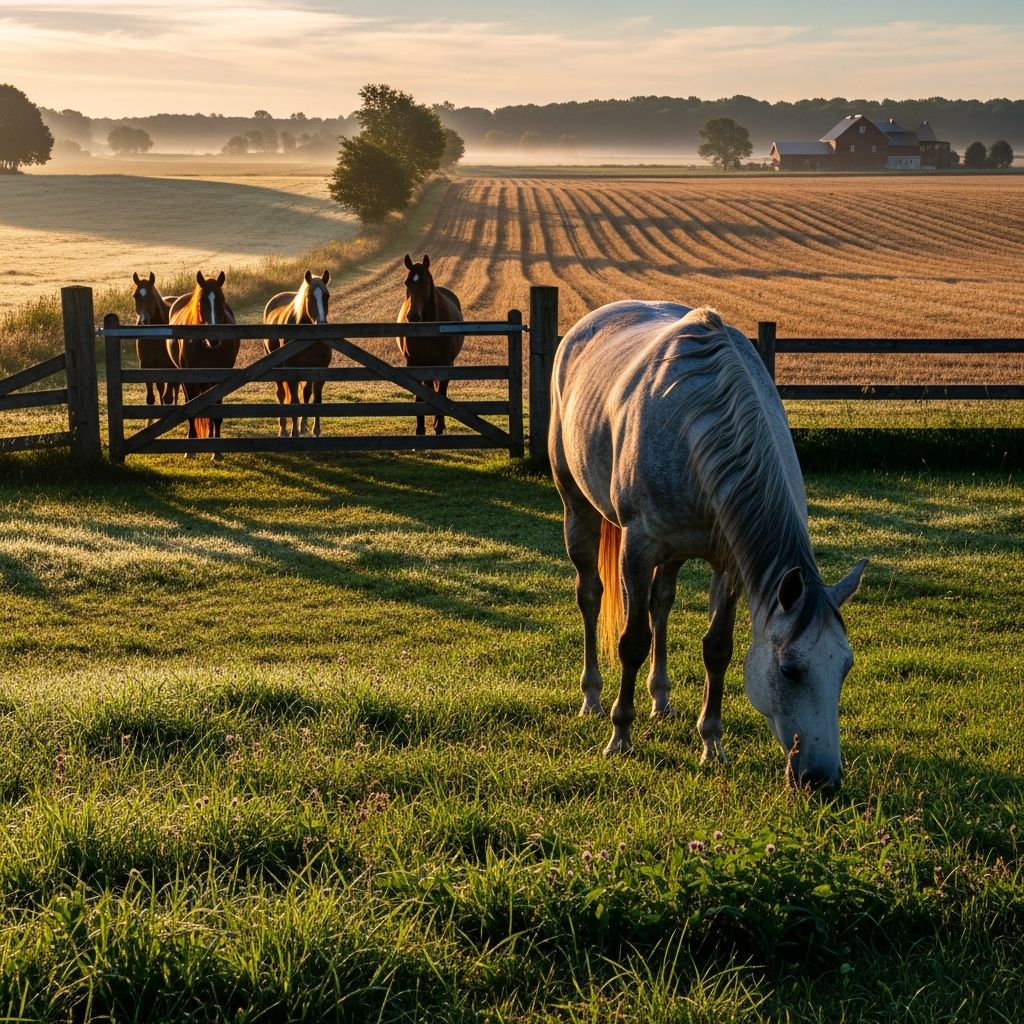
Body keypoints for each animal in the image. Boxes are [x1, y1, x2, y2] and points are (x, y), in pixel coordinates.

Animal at [132, 271, 179, 415]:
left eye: (151, 296)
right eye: (135, 296)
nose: (143, 322)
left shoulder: (170, 367)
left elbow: (168, 397)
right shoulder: (146, 366)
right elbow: (150, 399)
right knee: (160, 387)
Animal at [167, 271, 239, 459]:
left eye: (221, 299)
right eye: (201, 301)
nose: (214, 338)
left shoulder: (221, 379)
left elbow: (216, 414)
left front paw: (216, 451)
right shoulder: (190, 378)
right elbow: (191, 411)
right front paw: (190, 451)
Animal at [263, 269, 332, 437]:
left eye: (327, 296)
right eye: (309, 296)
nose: (321, 324)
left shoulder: (319, 370)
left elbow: (316, 400)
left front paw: (315, 430)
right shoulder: (291, 371)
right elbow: (294, 401)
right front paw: (294, 432)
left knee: (305, 393)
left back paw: (304, 425)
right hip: (277, 369)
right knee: (281, 394)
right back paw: (283, 429)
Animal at [396, 254, 464, 436]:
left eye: (425, 282)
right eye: (406, 282)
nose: (412, 316)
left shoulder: (445, 364)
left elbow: (441, 393)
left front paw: (439, 427)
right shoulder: (415, 364)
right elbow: (419, 396)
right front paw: (420, 429)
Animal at [549, 301, 867, 791]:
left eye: (844, 667)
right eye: (790, 670)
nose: (824, 780)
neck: (698, 421)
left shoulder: (728, 562)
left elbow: (717, 648)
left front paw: (711, 743)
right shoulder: (638, 547)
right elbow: (632, 641)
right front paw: (621, 736)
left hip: (675, 552)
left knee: (660, 603)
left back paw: (661, 700)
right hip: (577, 507)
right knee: (591, 596)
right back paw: (593, 698)